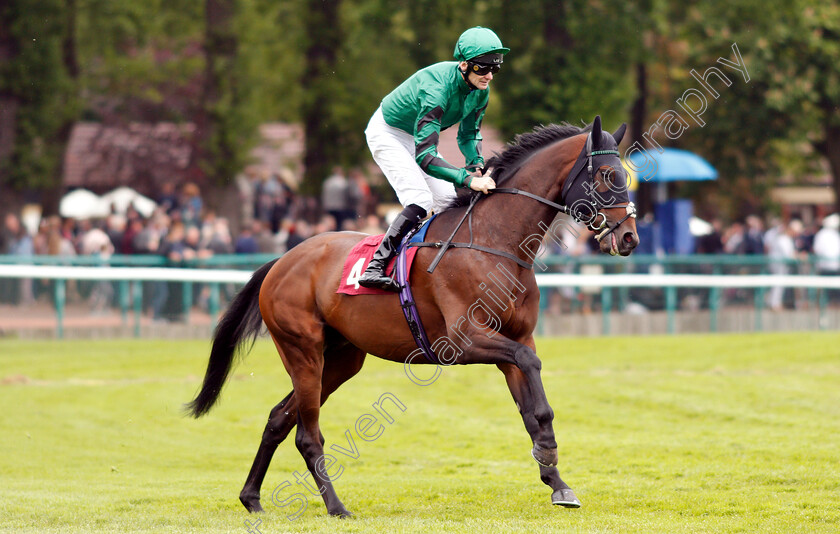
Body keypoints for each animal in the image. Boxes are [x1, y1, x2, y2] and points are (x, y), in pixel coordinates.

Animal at [187, 115, 640, 516]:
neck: (495, 242)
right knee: (307, 435)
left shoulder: (514, 340)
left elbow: (534, 408)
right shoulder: (464, 340)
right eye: (606, 176)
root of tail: (281, 261)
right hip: (303, 351)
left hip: (341, 359)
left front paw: (557, 481)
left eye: (626, 175)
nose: (629, 237)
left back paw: (251, 497)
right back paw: (336, 507)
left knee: (278, 419)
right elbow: (532, 367)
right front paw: (549, 460)